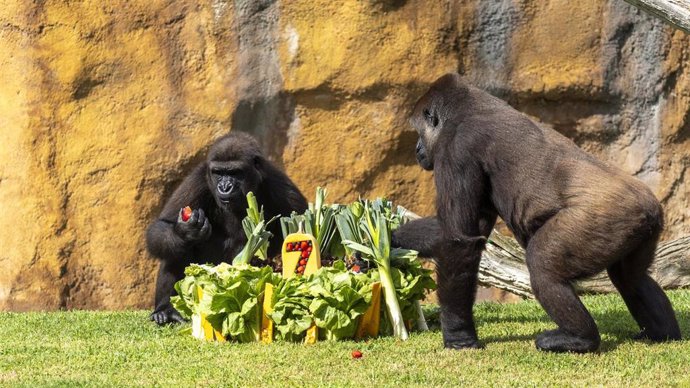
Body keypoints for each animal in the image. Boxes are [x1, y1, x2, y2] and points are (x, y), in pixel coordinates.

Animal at [145, 132, 306, 326]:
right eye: (218, 173)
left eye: (235, 173)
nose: (224, 187)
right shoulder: (198, 178)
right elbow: (162, 225)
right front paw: (185, 232)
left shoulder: (282, 189)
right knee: (175, 249)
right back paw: (165, 310)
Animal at [400, 73, 680, 354]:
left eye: (419, 133)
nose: (416, 149)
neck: (467, 107)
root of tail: (649, 207)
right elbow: (465, 230)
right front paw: (389, 241)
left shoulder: (456, 149)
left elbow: (460, 241)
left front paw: (458, 335)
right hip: (644, 227)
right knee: (631, 277)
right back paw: (662, 332)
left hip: (608, 219)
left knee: (543, 264)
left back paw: (579, 338)